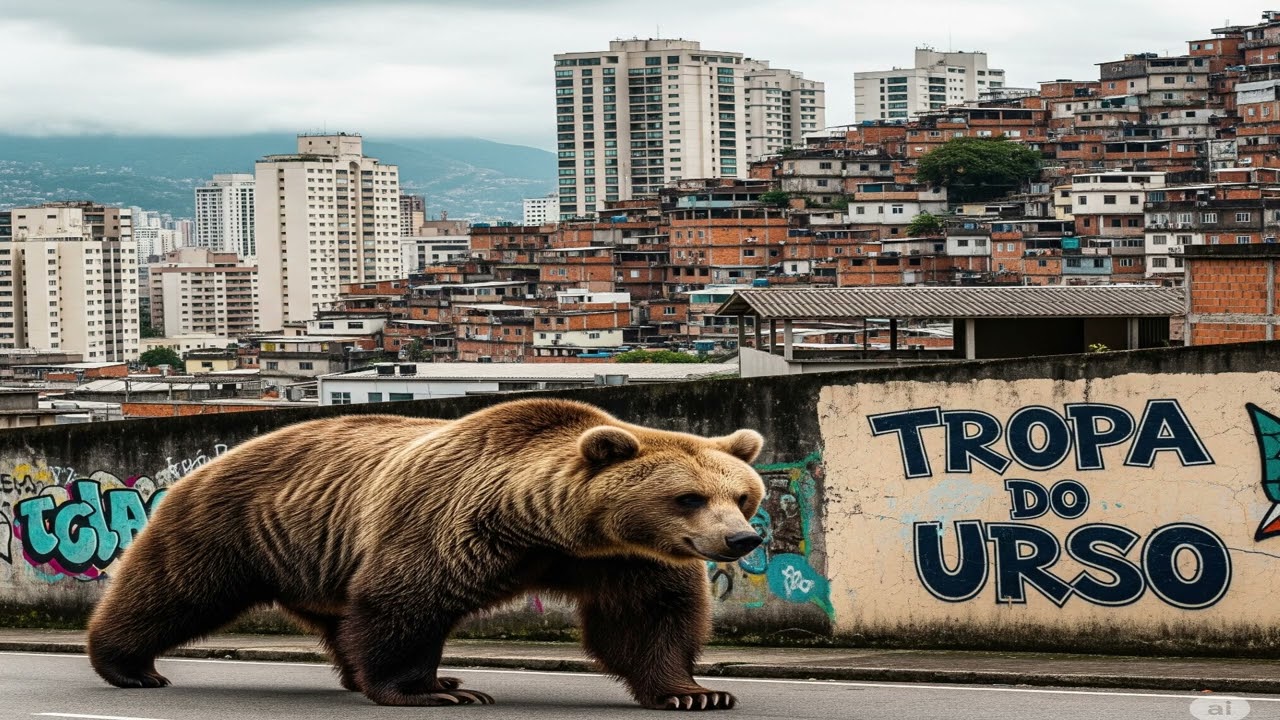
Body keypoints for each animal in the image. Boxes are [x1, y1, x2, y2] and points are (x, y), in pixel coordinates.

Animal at [86, 397, 767, 711]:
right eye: (688, 497)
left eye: (743, 496)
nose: (742, 540)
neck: (550, 528)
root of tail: (212, 460)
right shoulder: (452, 523)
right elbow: (407, 600)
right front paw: (430, 690)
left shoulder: (622, 557)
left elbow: (647, 617)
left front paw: (694, 692)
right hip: (235, 525)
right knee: (174, 590)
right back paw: (130, 665)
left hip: (319, 559)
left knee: (339, 621)